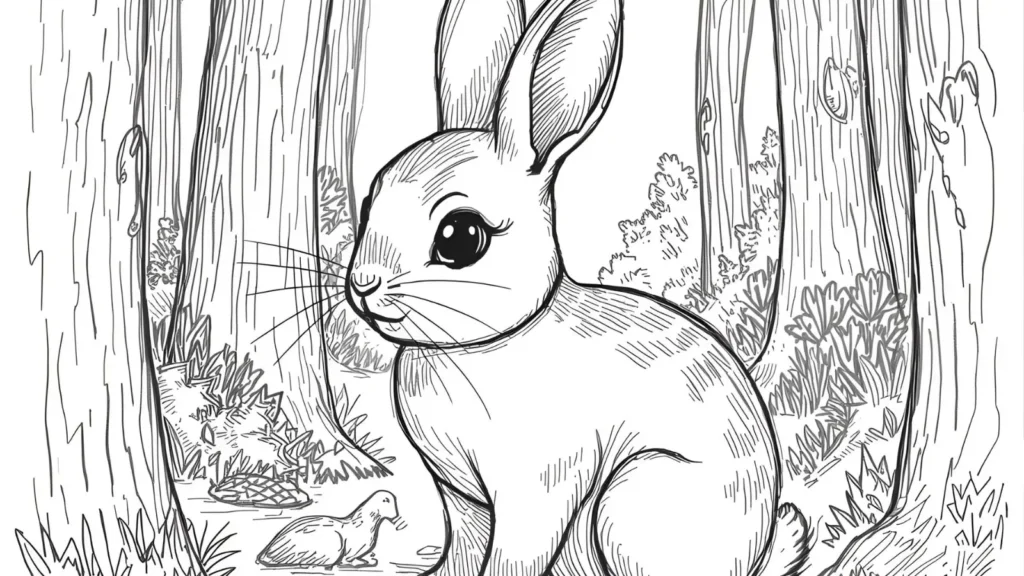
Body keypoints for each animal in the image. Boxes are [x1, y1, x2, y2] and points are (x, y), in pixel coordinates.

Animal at [345, 0, 808, 574]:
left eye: (460, 237)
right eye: (370, 201)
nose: (363, 284)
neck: (482, 345)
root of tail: (755, 555)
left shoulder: (542, 486)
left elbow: (514, 555)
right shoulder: (462, 498)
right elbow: (463, 546)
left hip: (630, 501)